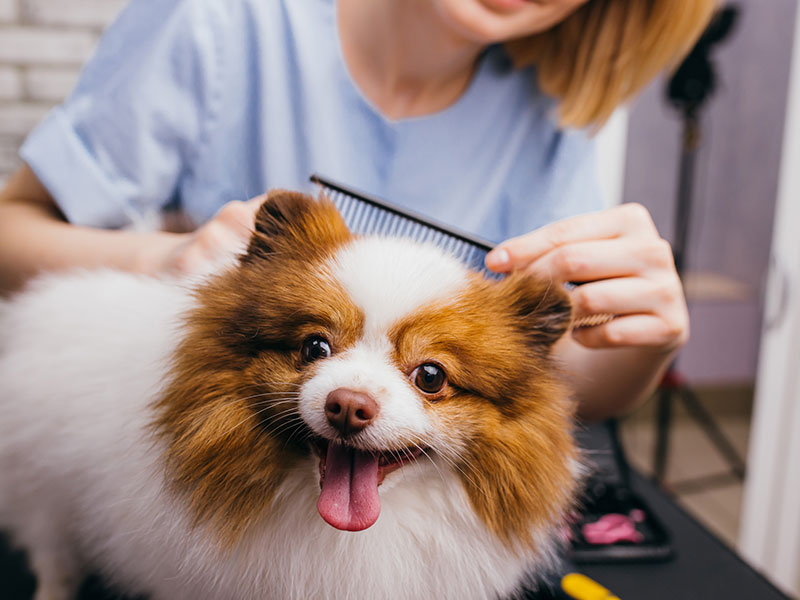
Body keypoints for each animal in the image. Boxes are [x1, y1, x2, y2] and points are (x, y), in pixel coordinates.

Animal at [0, 190, 580, 596]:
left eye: (431, 376)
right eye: (315, 346)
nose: (348, 406)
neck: (344, 539)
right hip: (43, 491)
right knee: (52, 557)